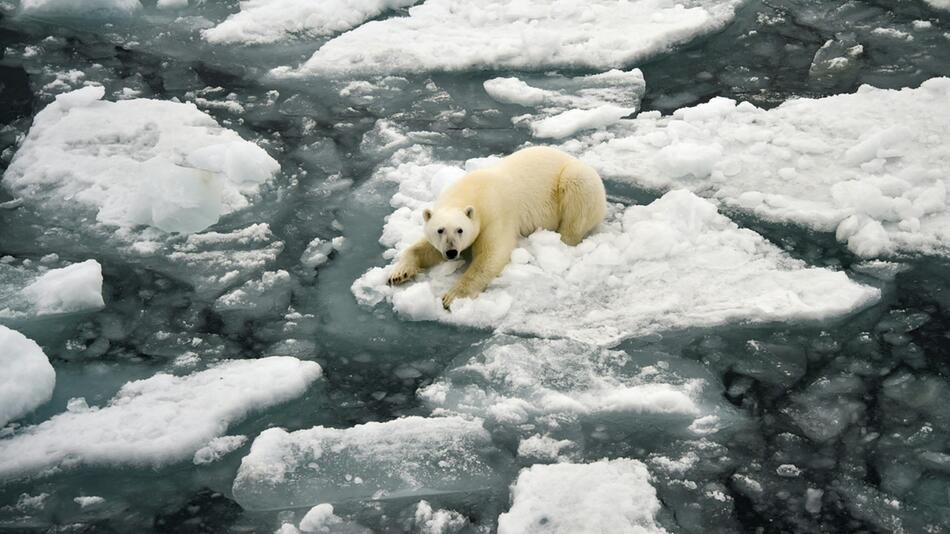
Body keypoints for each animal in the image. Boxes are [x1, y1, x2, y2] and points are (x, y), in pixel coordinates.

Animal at [388, 147, 608, 310]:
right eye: (440, 230)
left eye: (460, 230)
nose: (451, 252)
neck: (470, 191)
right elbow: (423, 249)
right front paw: (398, 274)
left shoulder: (495, 214)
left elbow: (490, 255)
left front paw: (452, 297)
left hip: (575, 181)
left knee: (576, 201)